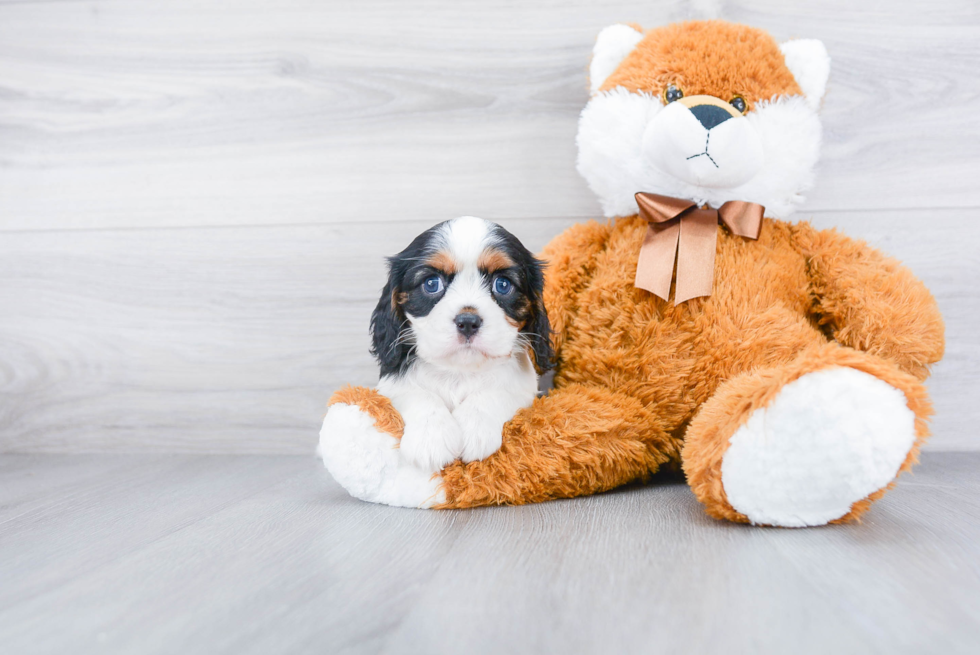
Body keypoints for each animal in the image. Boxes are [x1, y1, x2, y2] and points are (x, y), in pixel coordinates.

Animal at [370, 218, 552, 474]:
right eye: (432, 283)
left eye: (502, 284)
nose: (467, 322)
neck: (459, 371)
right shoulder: (390, 384)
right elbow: (417, 394)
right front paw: (430, 438)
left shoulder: (524, 387)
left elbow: (497, 391)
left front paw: (473, 427)